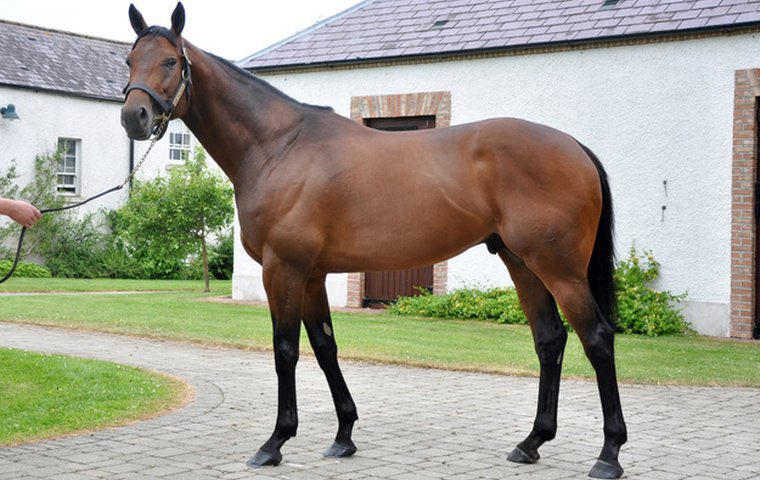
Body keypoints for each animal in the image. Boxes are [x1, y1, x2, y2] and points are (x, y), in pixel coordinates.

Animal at [120, 3, 627, 478]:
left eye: (170, 61)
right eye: (129, 60)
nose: (133, 117)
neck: (279, 146)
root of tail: (574, 146)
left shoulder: (283, 269)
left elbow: (286, 350)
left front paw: (275, 443)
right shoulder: (312, 275)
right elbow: (325, 347)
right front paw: (343, 436)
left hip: (559, 269)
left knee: (597, 339)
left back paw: (608, 455)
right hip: (522, 263)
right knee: (550, 340)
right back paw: (531, 443)